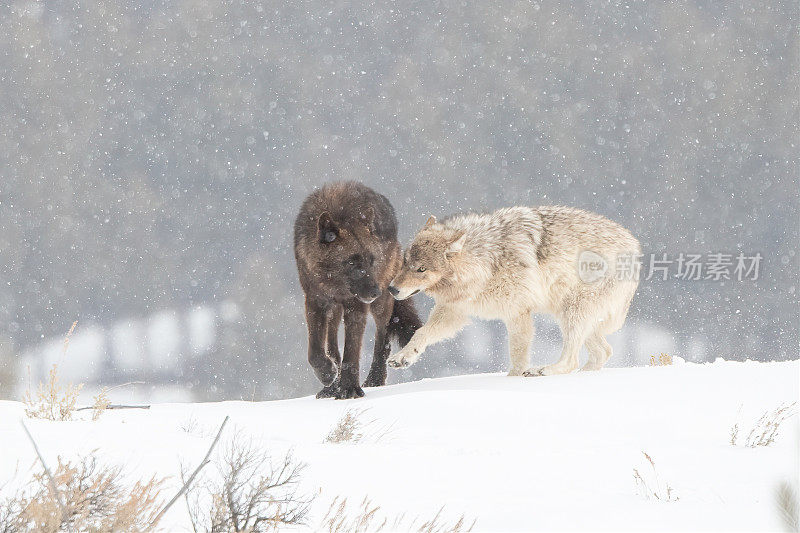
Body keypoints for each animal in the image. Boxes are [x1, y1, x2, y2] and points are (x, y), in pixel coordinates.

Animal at [292, 181, 418, 396]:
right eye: (351, 262)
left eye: (371, 260)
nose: (376, 291)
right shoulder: (315, 301)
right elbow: (315, 351)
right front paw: (328, 375)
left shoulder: (356, 305)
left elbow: (352, 350)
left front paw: (349, 390)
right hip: (335, 310)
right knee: (332, 341)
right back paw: (331, 387)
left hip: (381, 306)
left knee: (383, 340)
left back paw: (374, 379)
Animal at [384, 206, 640, 376]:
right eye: (405, 262)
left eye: (421, 269)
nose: (392, 289)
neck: (487, 262)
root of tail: (635, 246)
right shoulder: (454, 310)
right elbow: (421, 333)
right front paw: (402, 357)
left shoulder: (518, 313)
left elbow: (517, 357)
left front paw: (512, 380)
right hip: (569, 314)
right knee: (603, 352)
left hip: (573, 311)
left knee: (572, 359)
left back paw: (542, 371)